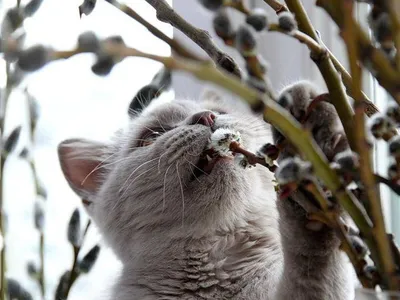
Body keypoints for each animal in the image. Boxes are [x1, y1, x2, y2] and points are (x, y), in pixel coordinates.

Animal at [57, 83, 354, 298]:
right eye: (151, 137)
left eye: (217, 109)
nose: (205, 117)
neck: (217, 261)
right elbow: (311, 260)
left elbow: (311, 262)